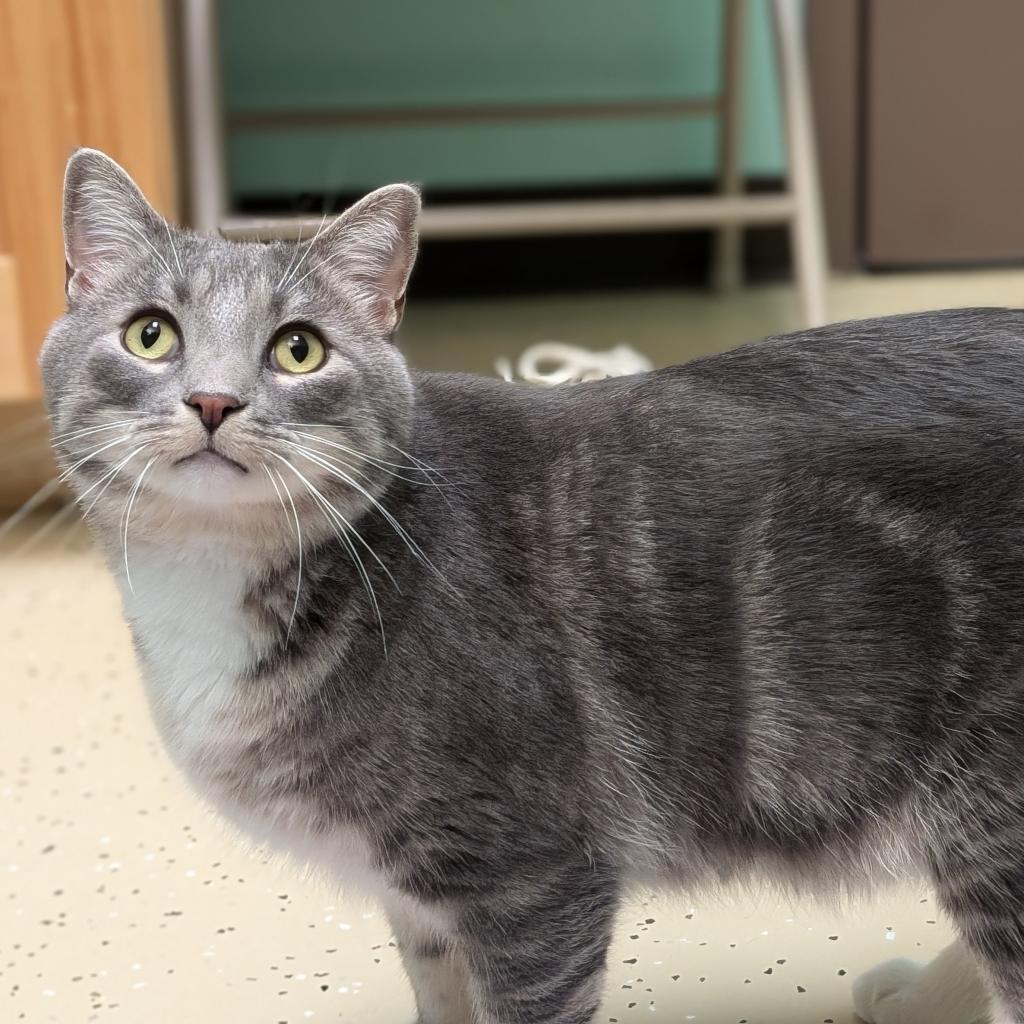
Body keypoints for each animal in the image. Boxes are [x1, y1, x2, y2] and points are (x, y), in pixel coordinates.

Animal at [39, 146, 1024, 1024]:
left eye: (298, 350)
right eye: (151, 333)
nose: (213, 401)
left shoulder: (534, 880)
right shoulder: (421, 896)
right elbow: (441, 998)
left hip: (991, 809)